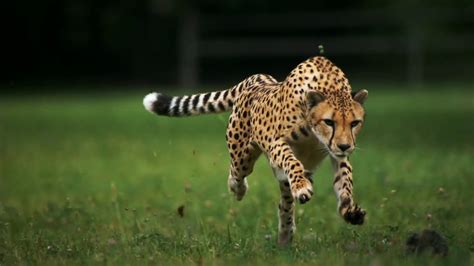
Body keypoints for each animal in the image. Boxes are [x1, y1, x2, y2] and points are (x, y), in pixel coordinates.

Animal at [143, 56, 368, 245]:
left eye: (355, 123)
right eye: (329, 122)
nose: (345, 145)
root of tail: (256, 78)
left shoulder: (337, 155)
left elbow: (345, 181)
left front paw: (349, 209)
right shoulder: (276, 143)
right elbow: (291, 161)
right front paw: (302, 186)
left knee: (285, 203)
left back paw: (285, 234)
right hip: (242, 156)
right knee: (236, 174)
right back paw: (239, 189)